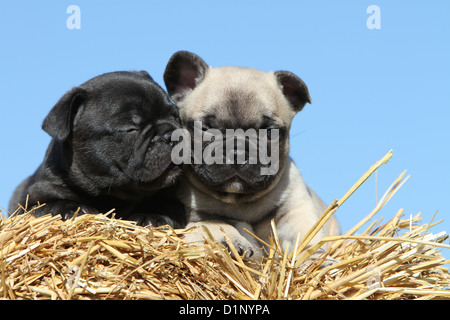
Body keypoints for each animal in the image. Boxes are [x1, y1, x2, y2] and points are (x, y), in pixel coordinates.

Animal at [10, 70, 186, 228]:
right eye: (130, 129)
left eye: (175, 116)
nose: (171, 135)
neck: (111, 194)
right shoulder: (37, 196)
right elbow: (49, 205)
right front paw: (73, 209)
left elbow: (165, 207)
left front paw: (151, 216)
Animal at [163, 51, 340, 258]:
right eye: (206, 129)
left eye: (269, 132)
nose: (237, 153)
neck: (239, 203)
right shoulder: (195, 215)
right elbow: (212, 224)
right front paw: (229, 240)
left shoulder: (296, 210)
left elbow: (305, 236)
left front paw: (316, 256)